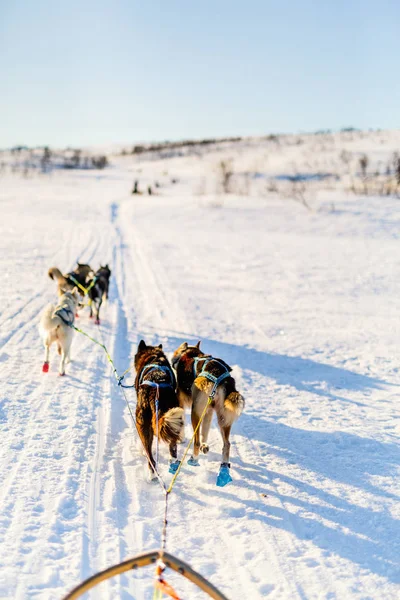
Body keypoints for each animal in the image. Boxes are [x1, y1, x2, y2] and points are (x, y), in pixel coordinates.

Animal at [171, 342, 244, 474]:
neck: (190, 354)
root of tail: (218, 377)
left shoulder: (181, 403)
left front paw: (181, 439)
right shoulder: (209, 411)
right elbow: (205, 432)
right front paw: (204, 446)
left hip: (195, 412)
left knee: (196, 441)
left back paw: (194, 459)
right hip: (223, 419)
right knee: (227, 444)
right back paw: (224, 465)